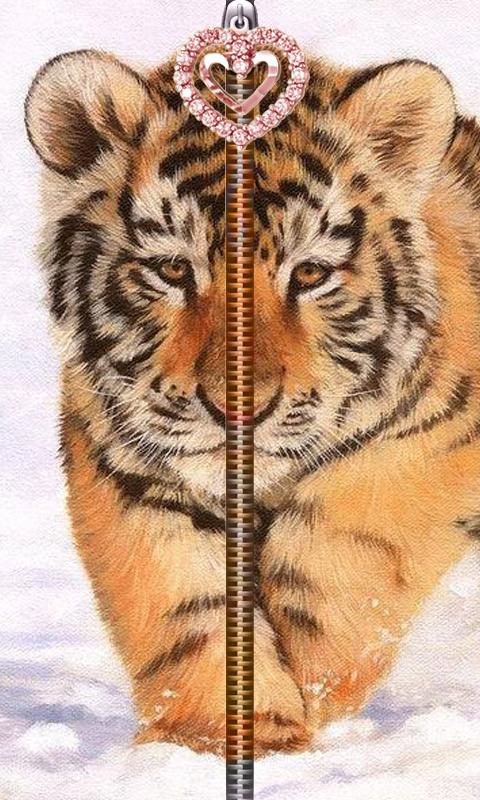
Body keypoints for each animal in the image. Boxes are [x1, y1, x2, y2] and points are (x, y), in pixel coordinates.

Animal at [25, 46, 480, 758]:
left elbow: (345, 535)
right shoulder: (125, 464)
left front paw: (317, 679)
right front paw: (218, 738)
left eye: (311, 273)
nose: (238, 410)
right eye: (173, 270)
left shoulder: (429, 444)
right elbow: (183, 601)